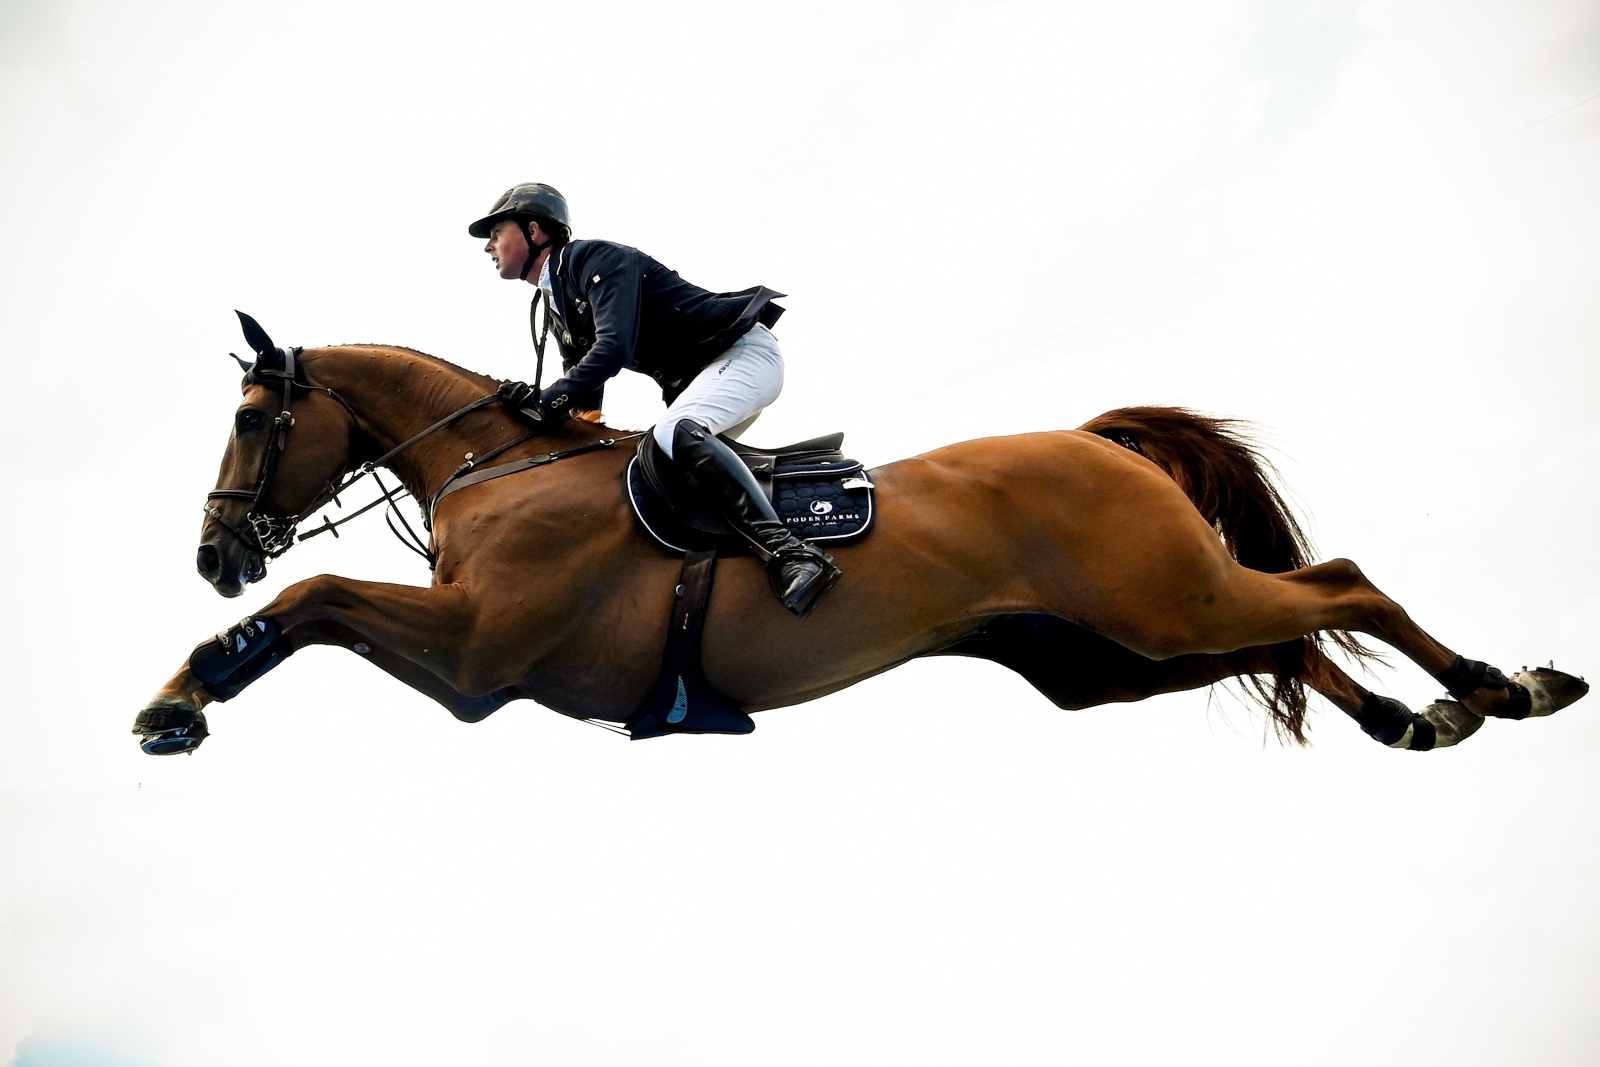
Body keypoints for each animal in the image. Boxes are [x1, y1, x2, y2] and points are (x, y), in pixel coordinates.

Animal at [134, 316, 1587, 758]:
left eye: (253, 417)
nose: (213, 553)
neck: (501, 463)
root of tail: (1094, 438)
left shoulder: (479, 651)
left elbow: (316, 593)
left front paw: (181, 694)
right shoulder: (468, 659)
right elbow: (316, 605)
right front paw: (185, 689)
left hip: (1163, 605)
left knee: (1335, 582)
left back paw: (1502, 683)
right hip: (1111, 654)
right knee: (1285, 630)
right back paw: (1415, 717)